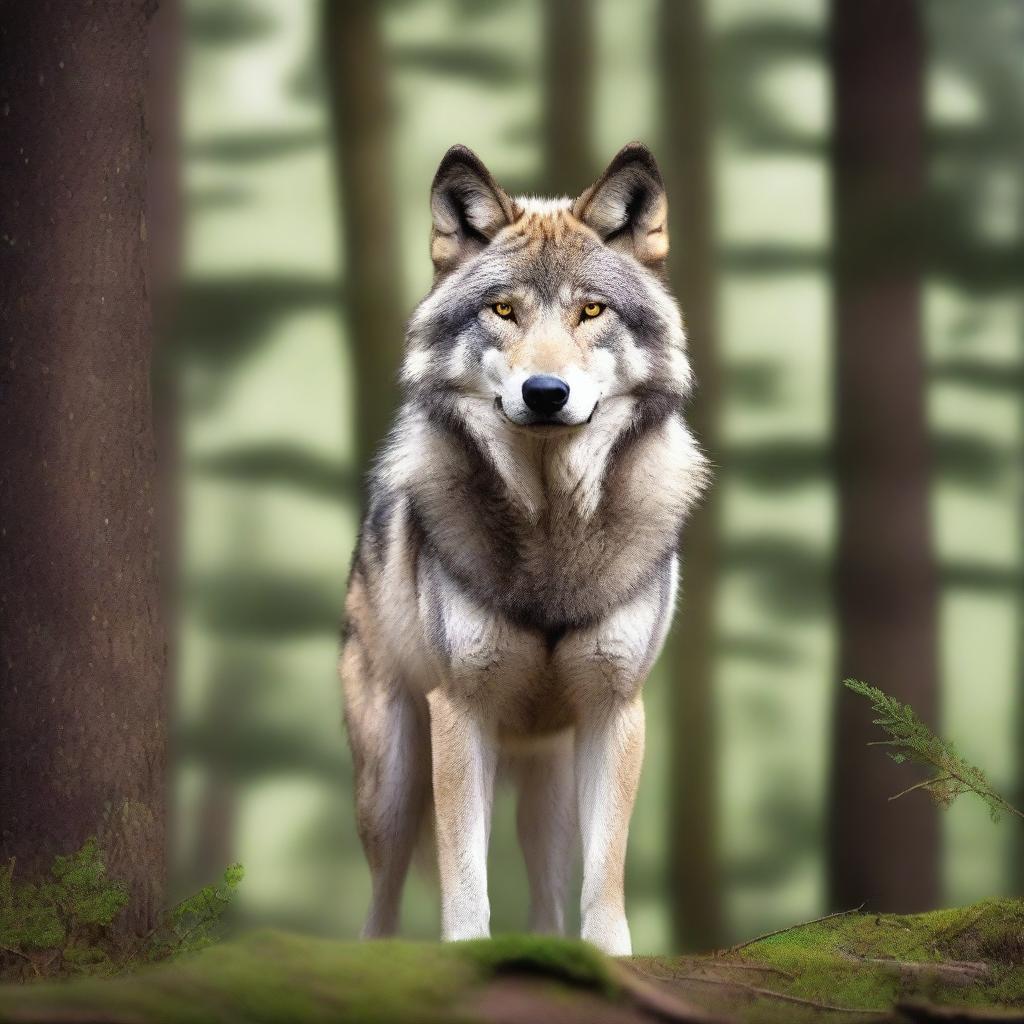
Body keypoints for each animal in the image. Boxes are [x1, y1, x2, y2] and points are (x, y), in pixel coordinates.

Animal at [340, 142, 708, 956]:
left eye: (591, 310)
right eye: (503, 309)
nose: (545, 392)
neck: (552, 531)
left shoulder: (615, 710)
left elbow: (605, 880)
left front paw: (610, 961)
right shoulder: (460, 711)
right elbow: (465, 880)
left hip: (549, 788)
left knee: (547, 894)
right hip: (393, 783)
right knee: (380, 902)